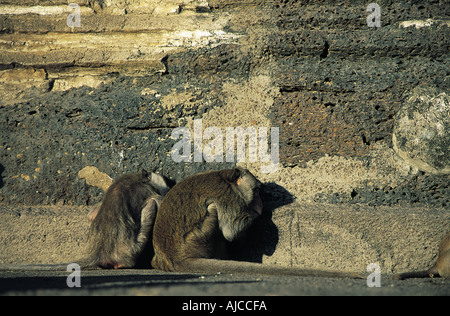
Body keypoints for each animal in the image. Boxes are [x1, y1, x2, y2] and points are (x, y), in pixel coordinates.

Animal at [151, 168, 362, 278]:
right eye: (257, 191)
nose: (260, 205)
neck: (224, 178)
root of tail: (173, 258)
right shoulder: (229, 197)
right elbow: (231, 232)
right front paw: (254, 216)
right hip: (201, 237)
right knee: (213, 211)